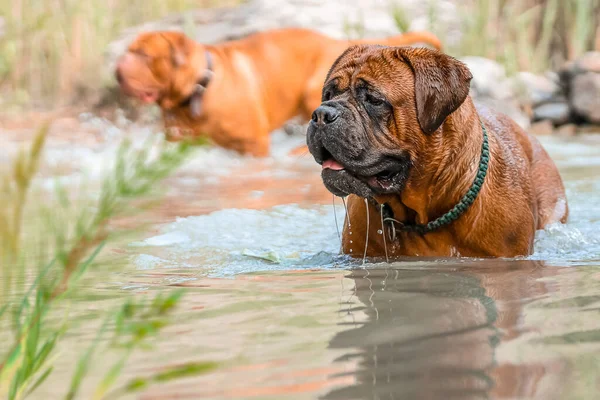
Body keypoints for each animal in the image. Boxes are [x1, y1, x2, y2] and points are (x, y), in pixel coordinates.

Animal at [115, 27, 440, 156]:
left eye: (143, 55)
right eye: (129, 51)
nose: (117, 70)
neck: (196, 91)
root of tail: (338, 41)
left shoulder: (253, 145)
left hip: (313, 91)